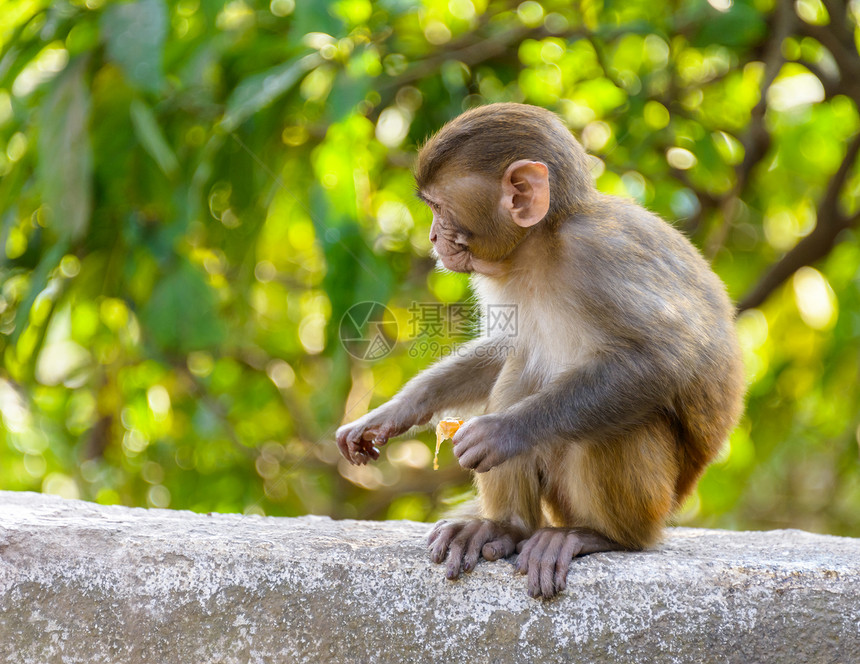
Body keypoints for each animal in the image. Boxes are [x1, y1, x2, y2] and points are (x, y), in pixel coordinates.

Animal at [336, 101, 744, 600]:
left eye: (438, 208)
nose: (432, 238)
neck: (540, 245)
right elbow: (505, 347)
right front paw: (394, 412)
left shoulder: (601, 254)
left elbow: (664, 358)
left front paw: (502, 432)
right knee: (522, 367)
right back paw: (504, 527)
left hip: (652, 503)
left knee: (621, 420)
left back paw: (599, 535)